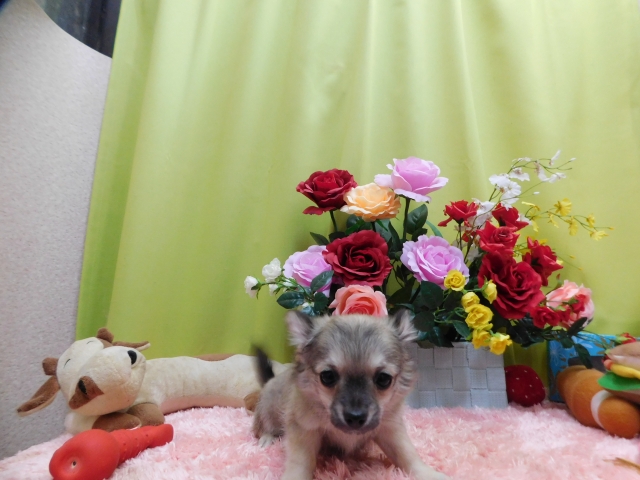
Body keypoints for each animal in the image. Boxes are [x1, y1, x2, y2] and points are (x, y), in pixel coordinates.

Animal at [252, 310, 449, 480]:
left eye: (383, 379)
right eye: (327, 376)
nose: (355, 417)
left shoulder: (390, 428)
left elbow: (407, 453)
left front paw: (428, 474)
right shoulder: (304, 428)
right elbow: (300, 461)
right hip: (269, 408)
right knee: (264, 426)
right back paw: (267, 438)